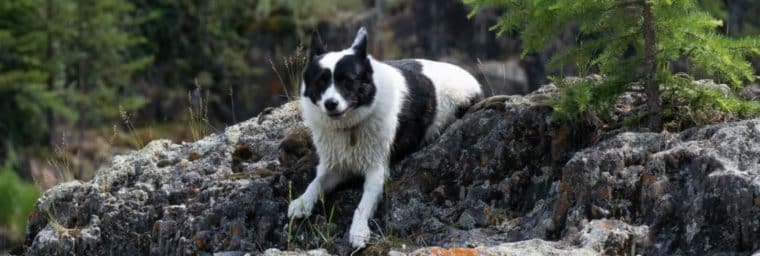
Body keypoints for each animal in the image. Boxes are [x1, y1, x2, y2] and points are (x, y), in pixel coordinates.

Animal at [286, 26, 480, 248]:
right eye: (320, 82)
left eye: (347, 80)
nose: (330, 104)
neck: (350, 127)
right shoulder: (335, 166)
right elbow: (315, 183)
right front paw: (302, 202)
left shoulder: (377, 171)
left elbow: (363, 205)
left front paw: (358, 231)